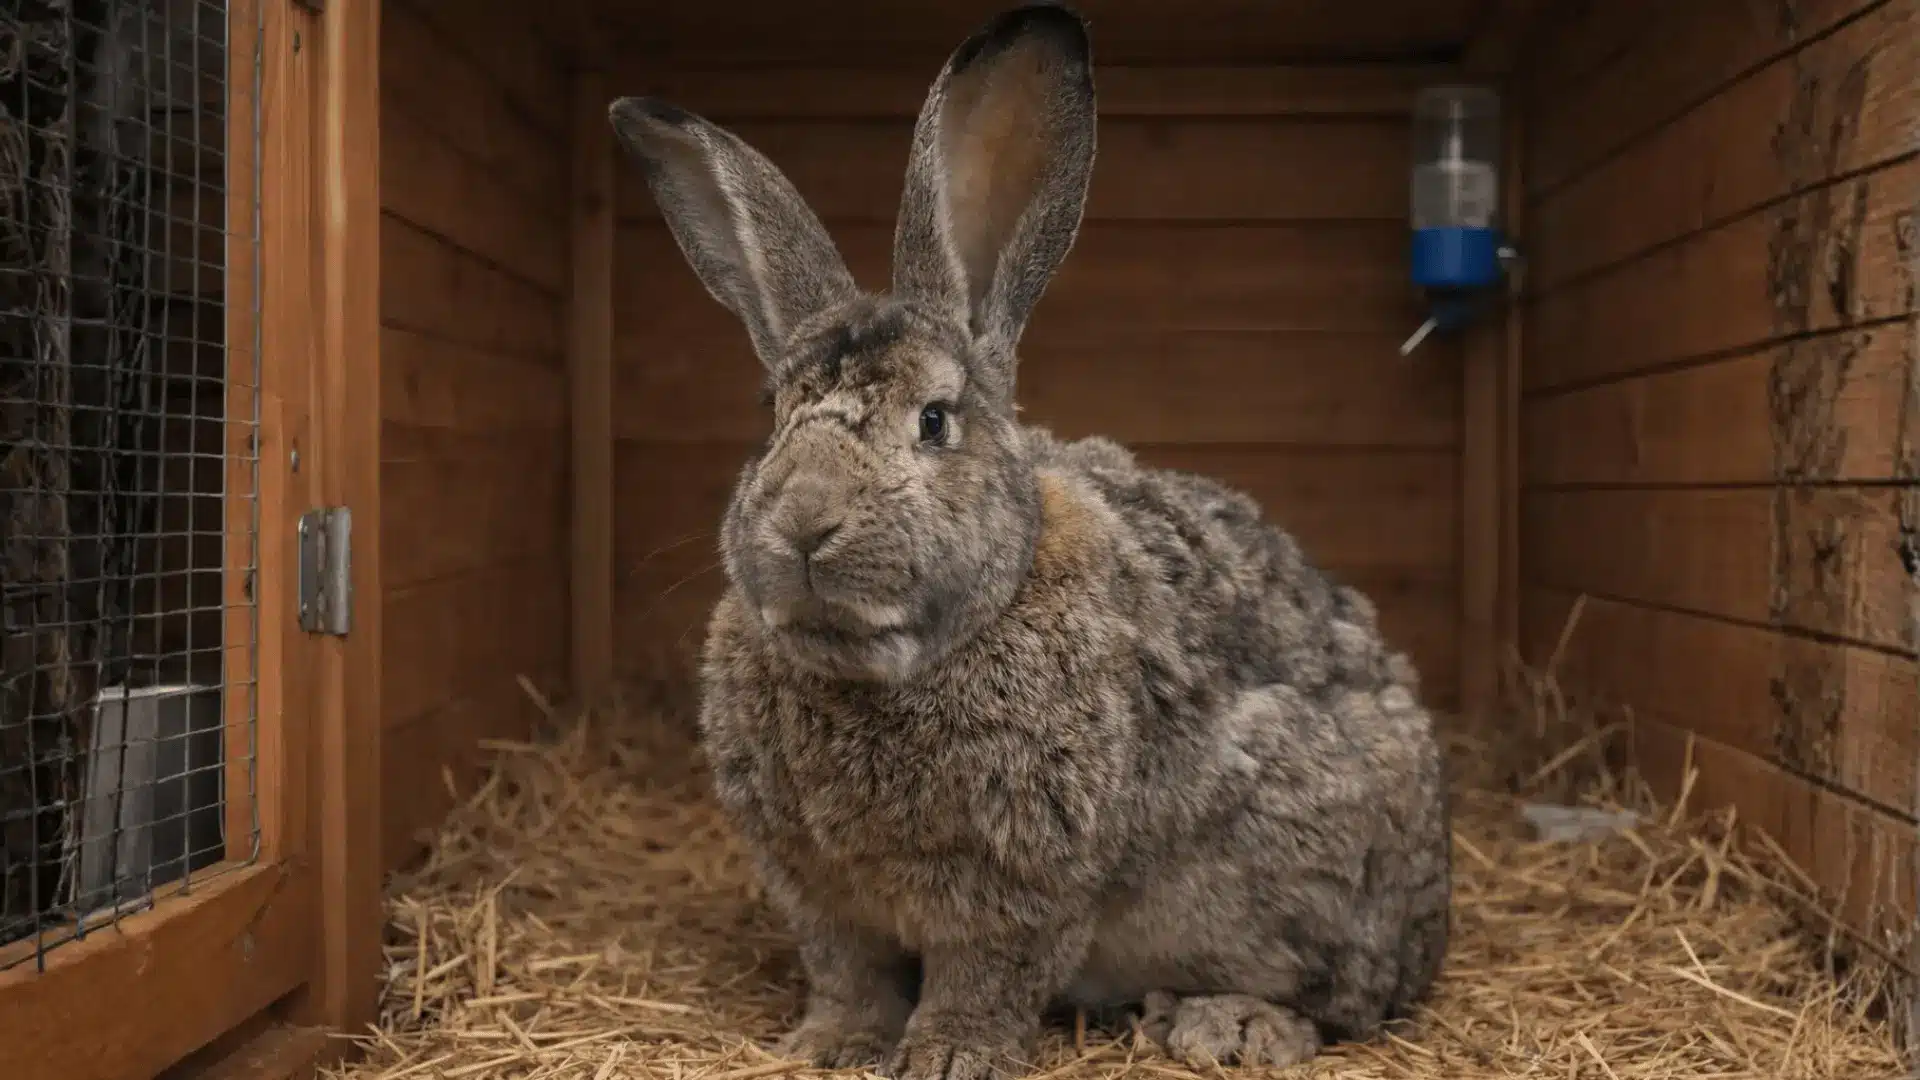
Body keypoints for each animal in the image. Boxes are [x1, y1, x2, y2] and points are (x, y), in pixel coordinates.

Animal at [606, 3, 1451, 1077]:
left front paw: (946, 1056)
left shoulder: (1023, 880)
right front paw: (827, 1044)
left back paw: (1229, 1026)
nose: (803, 523)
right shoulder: (820, 894)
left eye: (934, 421)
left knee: (1347, 1002)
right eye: (774, 417)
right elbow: (849, 972)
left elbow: (986, 976)